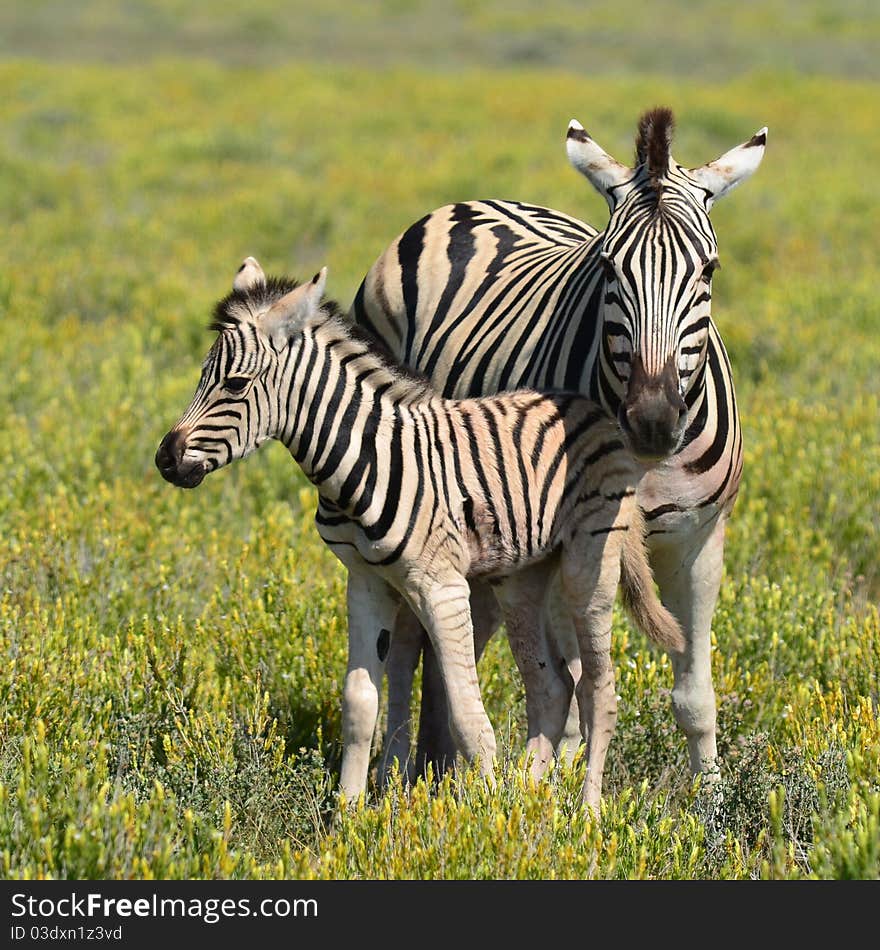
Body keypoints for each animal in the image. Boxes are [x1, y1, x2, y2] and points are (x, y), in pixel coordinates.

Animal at [155, 260, 684, 812]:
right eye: (202, 376)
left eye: (236, 384)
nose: (165, 459)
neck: (367, 457)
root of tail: (595, 410)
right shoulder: (365, 581)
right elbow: (360, 702)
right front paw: (349, 814)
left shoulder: (442, 586)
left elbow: (468, 718)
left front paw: (488, 819)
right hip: (522, 576)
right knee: (552, 686)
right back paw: (529, 795)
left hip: (589, 564)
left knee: (599, 691)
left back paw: (585, 811)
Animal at [350, 108, 764, 784]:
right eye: (609, 269)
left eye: (708, 271)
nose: (652, 422)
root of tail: (468, 205)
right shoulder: (565, 540)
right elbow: (570, 687)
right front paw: (555, 794)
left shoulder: (701, 539)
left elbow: (694, 696)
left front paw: (711, 801)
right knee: (411, 645)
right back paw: (403, 774)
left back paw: (438, 766)